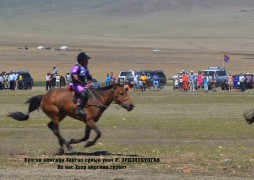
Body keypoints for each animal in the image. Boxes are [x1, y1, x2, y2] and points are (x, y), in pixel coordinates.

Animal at [7, 83, 135, 155]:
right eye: (121, 93)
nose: (131, 105)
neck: (96, 100)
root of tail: (44, 96)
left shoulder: (88, 122)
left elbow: (86, 136)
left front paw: (73, 141)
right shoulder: (90, 121)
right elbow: (98, 133)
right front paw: (88, 144)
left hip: (61, 115)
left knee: (51, 127)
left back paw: (65, 145)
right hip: (55, 115)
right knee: (55, 129)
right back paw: (64, 148)